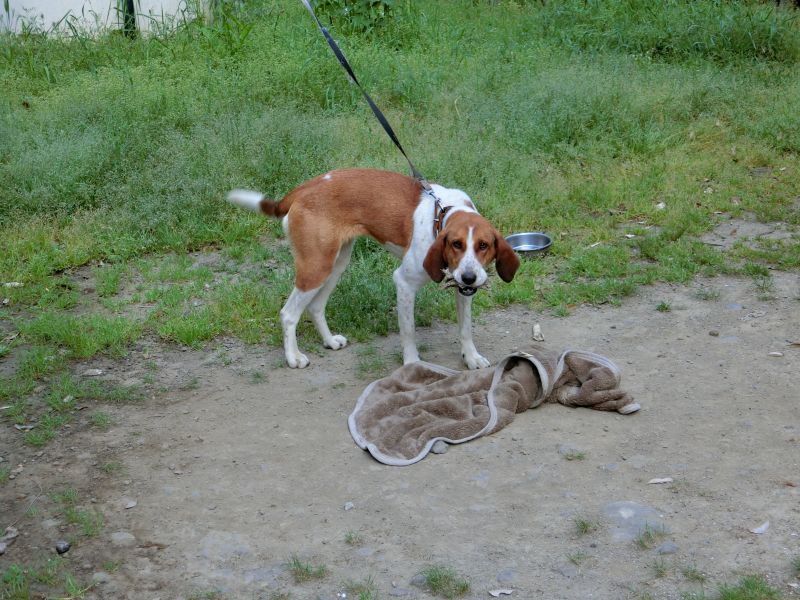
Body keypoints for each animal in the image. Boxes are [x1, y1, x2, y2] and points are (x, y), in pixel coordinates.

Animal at [227, 168, 520, 369]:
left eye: (483, 246)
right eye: (456, 244)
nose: (470, 277)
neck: (443, 212)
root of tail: (303, 189)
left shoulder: (463, 289)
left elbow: (465, 327)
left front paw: (470, 357)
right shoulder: (404, 283)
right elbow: (409, 332)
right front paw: (412, 365)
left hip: (335, 264)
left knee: (315, 306)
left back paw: (329, 341)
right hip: (316, 267)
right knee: (288, 314)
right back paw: (293, 357)